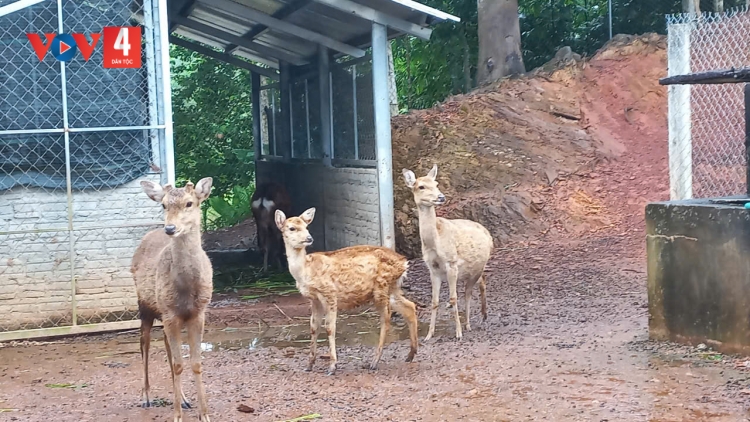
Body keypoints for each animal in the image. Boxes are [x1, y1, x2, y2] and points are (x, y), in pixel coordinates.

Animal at [131, 177, 214, 422]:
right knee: (144, 344)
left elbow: (194, 363)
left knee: (167, 349)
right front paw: (177, 416)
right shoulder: (169, 314)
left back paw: (185, 399)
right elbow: (178, 364)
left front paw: (204, 414)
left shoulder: (198, 313)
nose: (170, 228)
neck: (186, 289)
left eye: (189, 203)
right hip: (145, 307)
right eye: (164, 205)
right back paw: (146, 397)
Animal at [276, 208, 420, 376]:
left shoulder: (330, 293)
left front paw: (332, 366)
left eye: (306, 227)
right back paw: (410, 354)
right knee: (409, 306)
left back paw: (374, 362)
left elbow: (330, 328)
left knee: (386, 319)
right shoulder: (314, 299)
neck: (305, 270)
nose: (309, 238)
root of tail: (404, 263)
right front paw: (309, 364)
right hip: (392, 288)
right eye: (292, 228)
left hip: (381, 287)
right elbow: (313, 327)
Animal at [402, 165, 496, 340]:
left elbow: (453, 298)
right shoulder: (432, 269)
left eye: (436, 183)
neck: (435, 243)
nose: (441, 197)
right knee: (478, 284)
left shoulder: (451, 262)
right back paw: (478, 318)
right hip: (471, 270)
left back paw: (471, 323)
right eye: (421, 186)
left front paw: (458, 334)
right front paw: (429, 335)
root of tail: (488, 233)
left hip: (476, 268)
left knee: (468, 292)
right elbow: (434, 301)